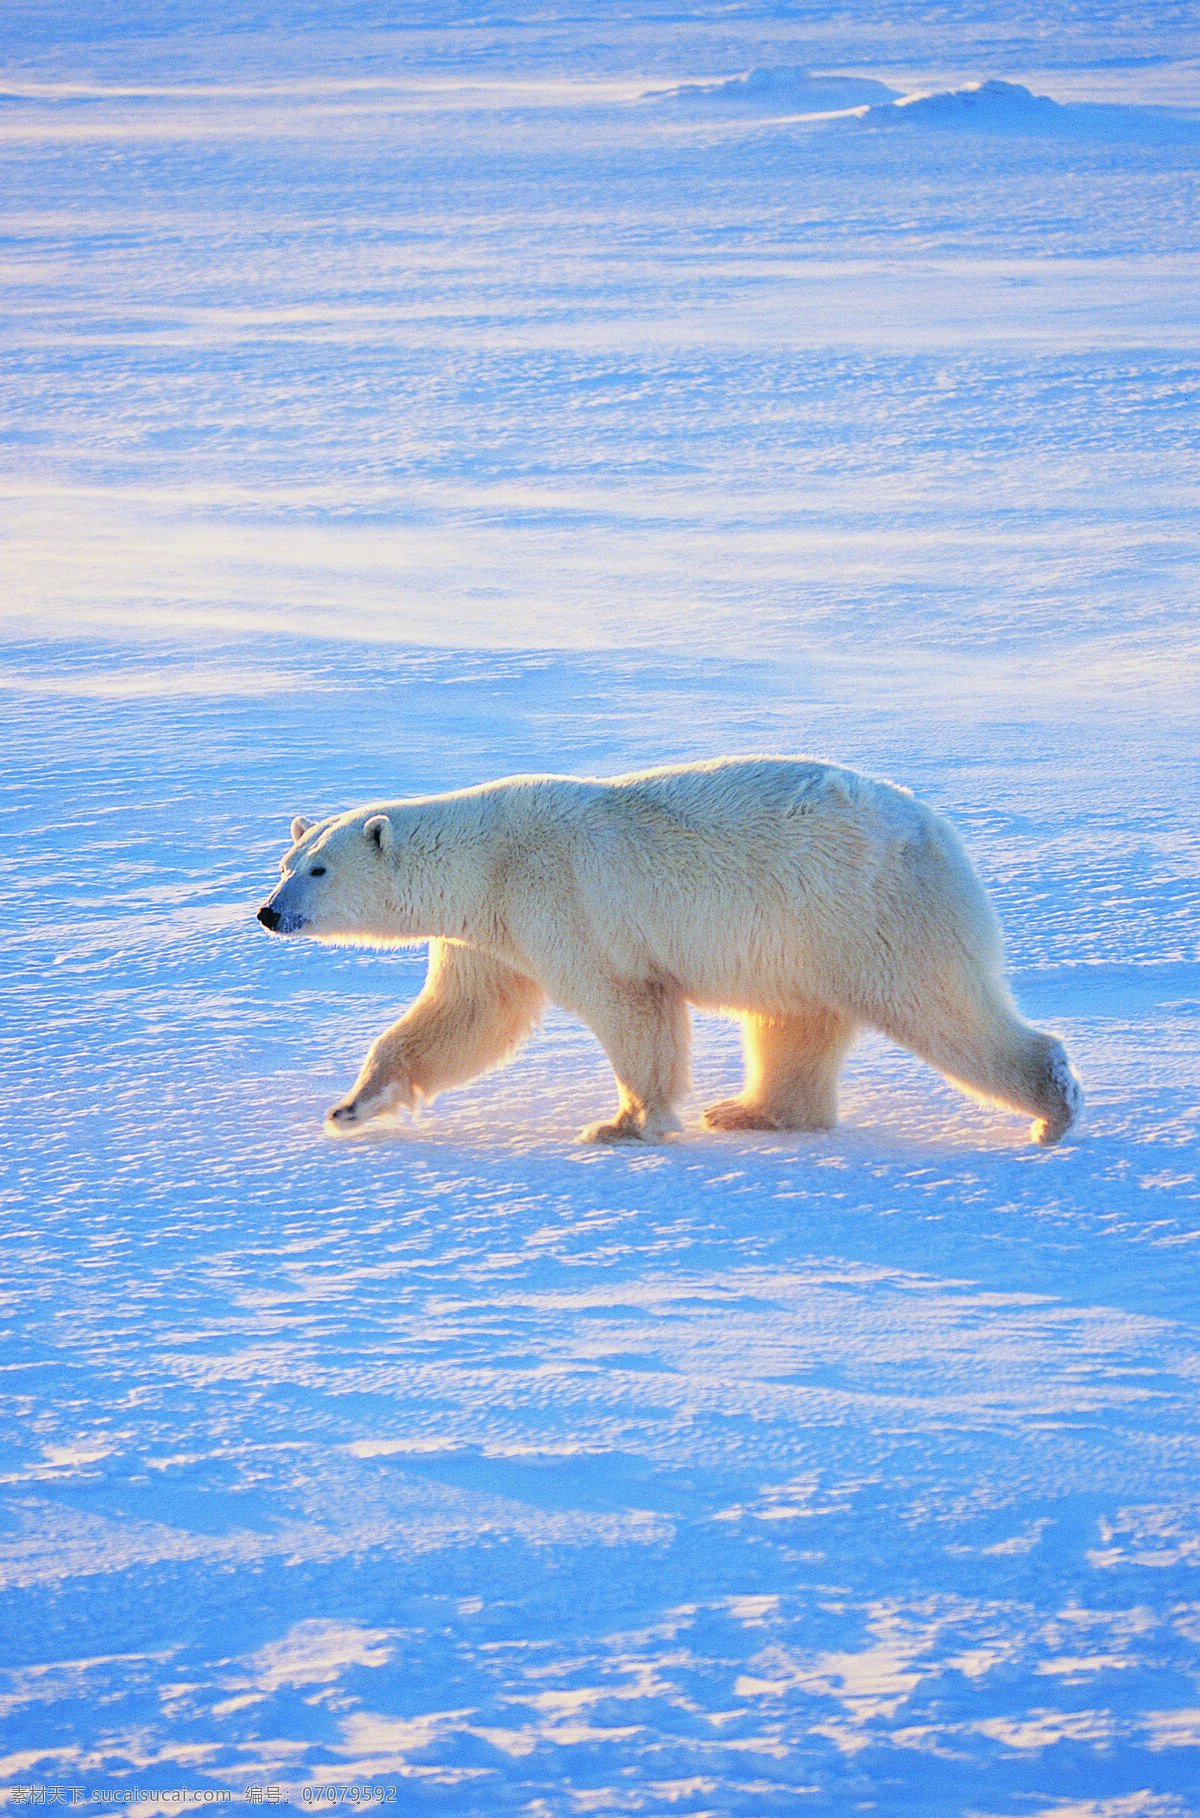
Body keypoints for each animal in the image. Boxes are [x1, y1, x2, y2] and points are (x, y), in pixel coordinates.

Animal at [258, 759, 1083, 1141]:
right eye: (286, 862)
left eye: (318, 870)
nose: (268, 913)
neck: (488, 860)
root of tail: (934, 829)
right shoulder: (487, 938)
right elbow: (463, 1017)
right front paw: (352, 1106)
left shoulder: (560, 901)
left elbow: (629, 1006)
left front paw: (625, 1124)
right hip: (800, 942)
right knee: (794, 1025)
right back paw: (751, 1112)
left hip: (864, 913)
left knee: (941, 1007)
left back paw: (1053, 1107)